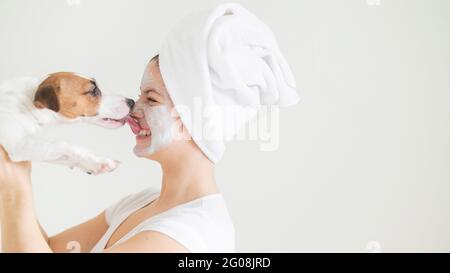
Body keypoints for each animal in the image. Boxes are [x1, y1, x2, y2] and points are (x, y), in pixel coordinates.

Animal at [0, 72, 134, 174]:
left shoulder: (33, 148)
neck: (27, 101)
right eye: (92, 91)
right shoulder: (18, 146)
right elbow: (65, 144)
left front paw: (92, 164)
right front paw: (99, 161)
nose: (131, 102)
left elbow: (65, 156)